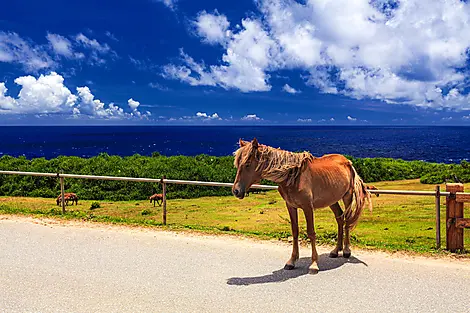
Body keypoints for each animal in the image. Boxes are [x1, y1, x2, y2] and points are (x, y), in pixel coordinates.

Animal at [231, 138, 370, 272]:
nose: (236, 191)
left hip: (347, 197)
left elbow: (311, 232)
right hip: (332, 200)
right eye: (237, 164)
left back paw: (346, 250)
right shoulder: (290, 206)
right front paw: (291, 261)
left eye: (247, 164)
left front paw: (314, 264)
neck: (292, 176)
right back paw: (336, 250)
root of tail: (347, 162)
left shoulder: (307, 207)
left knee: (347, 220)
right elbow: (295, 231)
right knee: (340, 218)